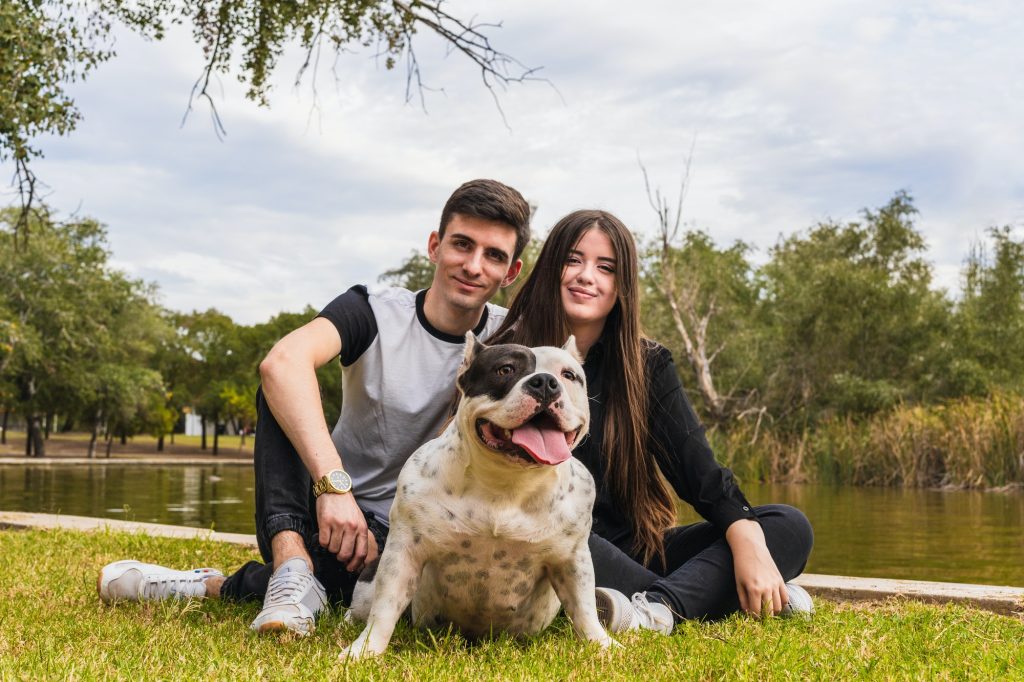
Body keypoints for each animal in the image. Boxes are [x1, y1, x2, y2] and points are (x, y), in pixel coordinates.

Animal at [339, 331, 610, 655]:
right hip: (373, 573)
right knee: (364, 606)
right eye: (505, 369)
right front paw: (364, 651)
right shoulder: (404, 551)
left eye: (569, 375)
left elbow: (584, 609)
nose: (545, 382)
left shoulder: (571, 560)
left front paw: (604, 646)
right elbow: (384, 607)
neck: (508, 482)